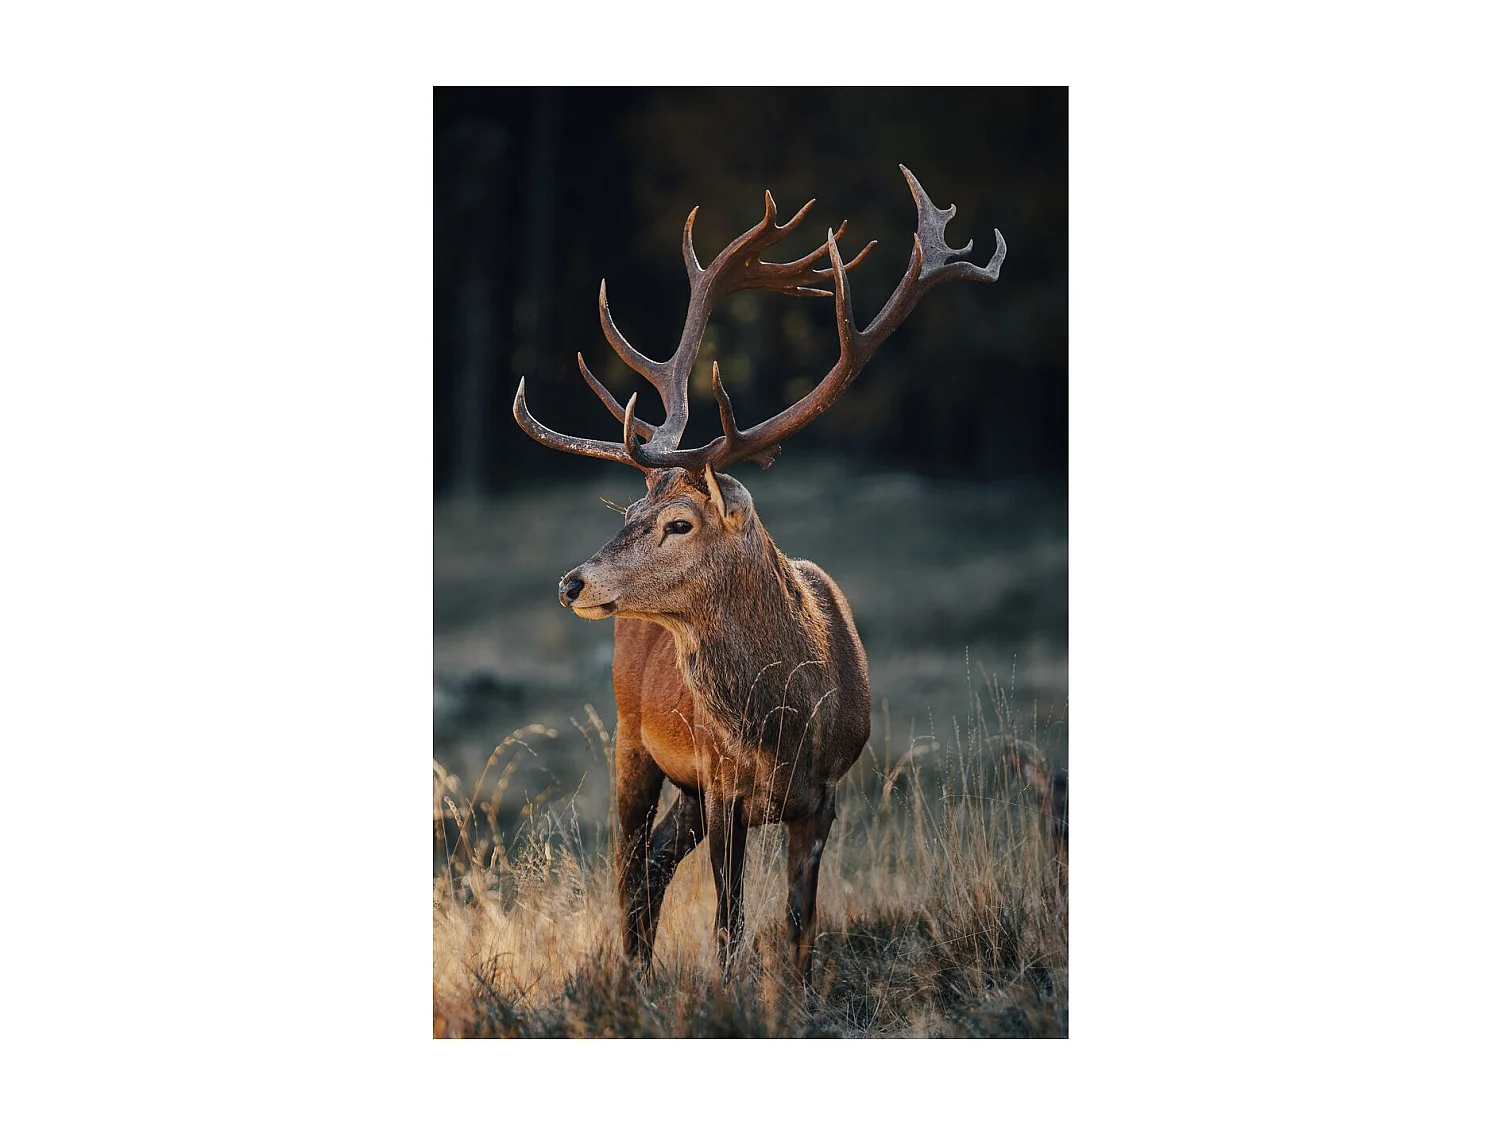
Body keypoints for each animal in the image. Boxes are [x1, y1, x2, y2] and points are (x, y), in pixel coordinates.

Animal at [513, 166, 1004, 985]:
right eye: (632, 511)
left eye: (679, 523)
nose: (572, 582)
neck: (785, 724)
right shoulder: (722, 786)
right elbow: (729, 927)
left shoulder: (826, 793)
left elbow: (800, 924)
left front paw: (796, 995)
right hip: (632, 740)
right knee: (627, 869)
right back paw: (631, 976)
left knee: (650, 866)